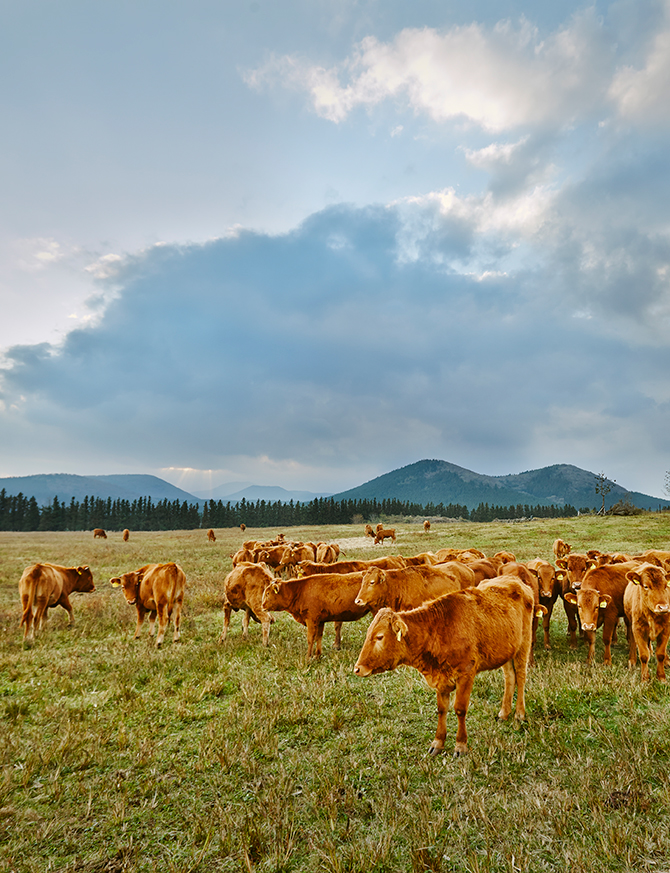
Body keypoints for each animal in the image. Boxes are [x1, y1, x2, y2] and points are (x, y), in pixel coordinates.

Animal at [354, 580, 540, 756]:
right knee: (510, 678)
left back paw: (519, 714)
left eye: (379, 637)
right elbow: (442, 709)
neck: (438, 629)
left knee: (521, 676)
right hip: (506, 650)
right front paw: (438, 743)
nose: (358, 668)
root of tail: (517, 581)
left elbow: (460, 709)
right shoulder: (440, 678)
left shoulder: (466, 674)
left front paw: (461, 745)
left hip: (524, 644)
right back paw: (504, 713)